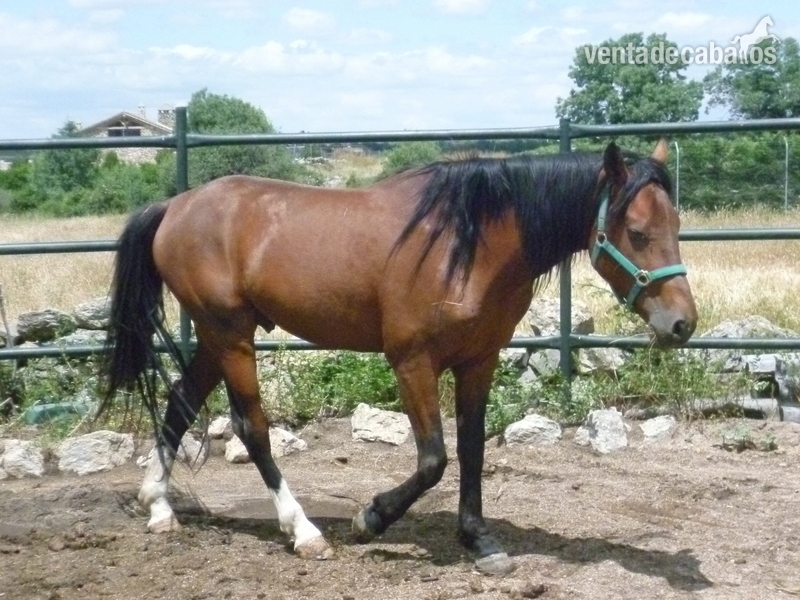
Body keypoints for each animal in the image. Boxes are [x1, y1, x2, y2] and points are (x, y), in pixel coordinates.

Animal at [101, 139, 697, 575]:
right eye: (637, 232)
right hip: (230, 336)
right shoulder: (412, 362)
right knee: (253, 428)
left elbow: (472, 450)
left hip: (217, 336)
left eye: (676, 225)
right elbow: (434, 459)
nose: (682, 324)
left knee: (180, 403)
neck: (468, 244)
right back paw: (304, 532)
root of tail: (174, 207)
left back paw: (159, 507)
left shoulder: (479, 360)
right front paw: (371, 519)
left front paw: (479, 540)